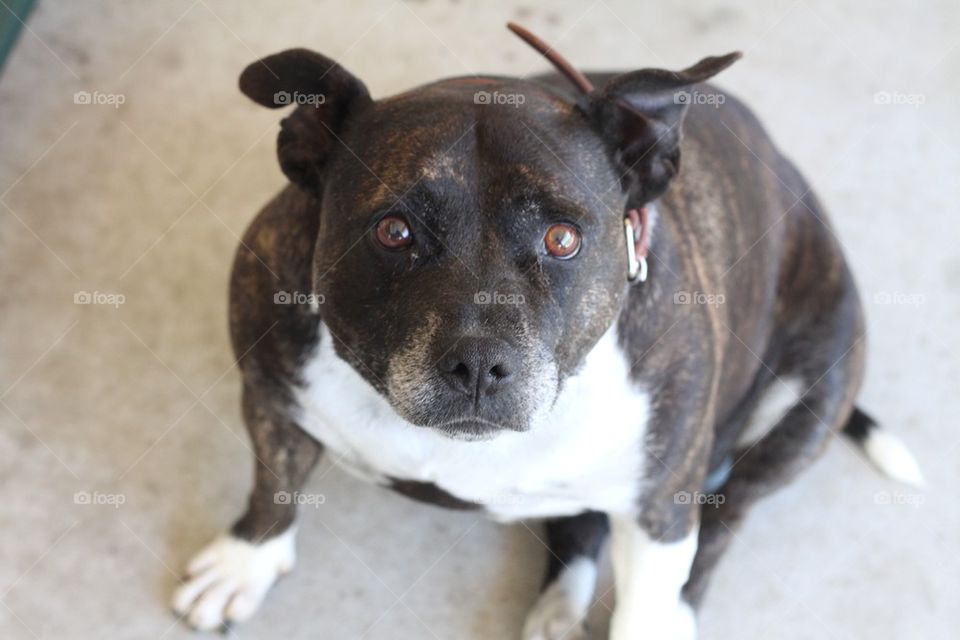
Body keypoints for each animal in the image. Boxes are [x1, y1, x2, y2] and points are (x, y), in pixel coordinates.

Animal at [172, 22, 924, 636]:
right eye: (393, 231)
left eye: (563, 239)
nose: (478, 364)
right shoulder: (269, 394)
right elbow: (274, 481)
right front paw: (245, 561)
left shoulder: (660, 509)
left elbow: (653, 590)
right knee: (581, 526)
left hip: (811, 392)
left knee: (724, 516)